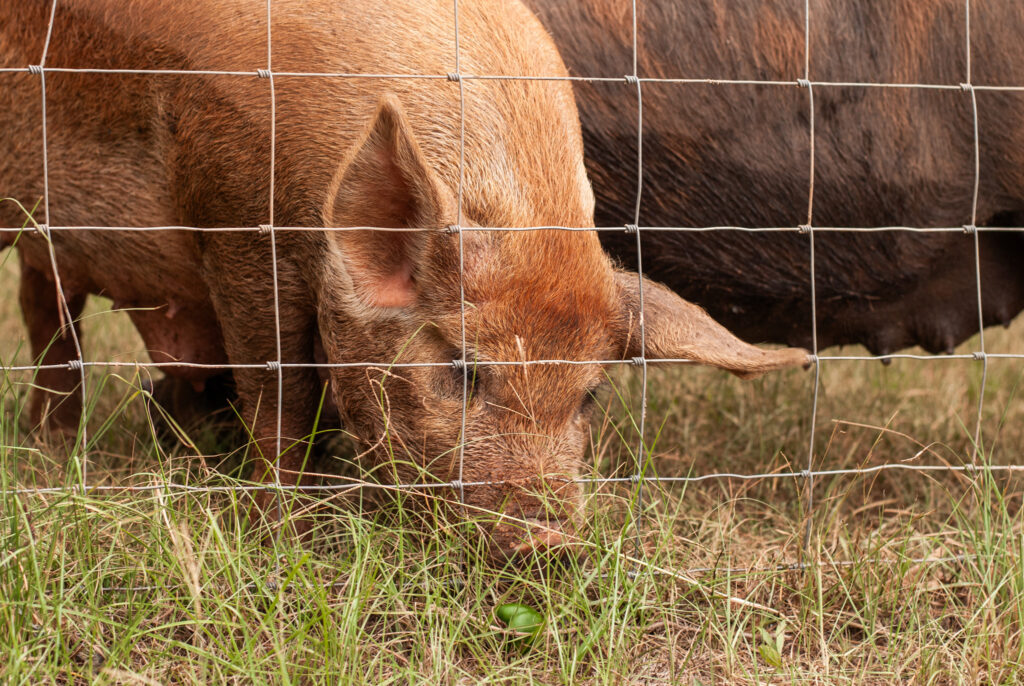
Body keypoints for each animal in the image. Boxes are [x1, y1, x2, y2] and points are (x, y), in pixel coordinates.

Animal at [4, 0, 811, 556]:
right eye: (462, 370)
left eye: (590, 394)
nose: (548, 542)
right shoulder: (235, 213)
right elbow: (282, 391)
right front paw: (285, 532)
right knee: (51, 319)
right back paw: (52, 453)